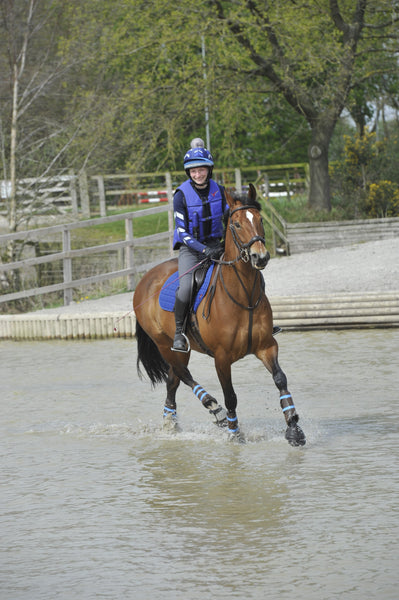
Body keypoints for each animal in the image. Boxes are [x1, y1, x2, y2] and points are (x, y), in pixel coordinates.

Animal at [134, 183, 306, 446]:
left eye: (260, 220)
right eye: (236, 224)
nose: (260, 257)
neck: (244, 296)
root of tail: (144, 280)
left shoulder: (266, 346)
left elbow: (280, 379)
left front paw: (294, 428)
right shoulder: (222, 358)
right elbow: (231, 396)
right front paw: (235, 434)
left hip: (180, 350)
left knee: (173, 381)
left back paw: (170, 424)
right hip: (164, 343)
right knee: (183, 374)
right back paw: (215, 409)